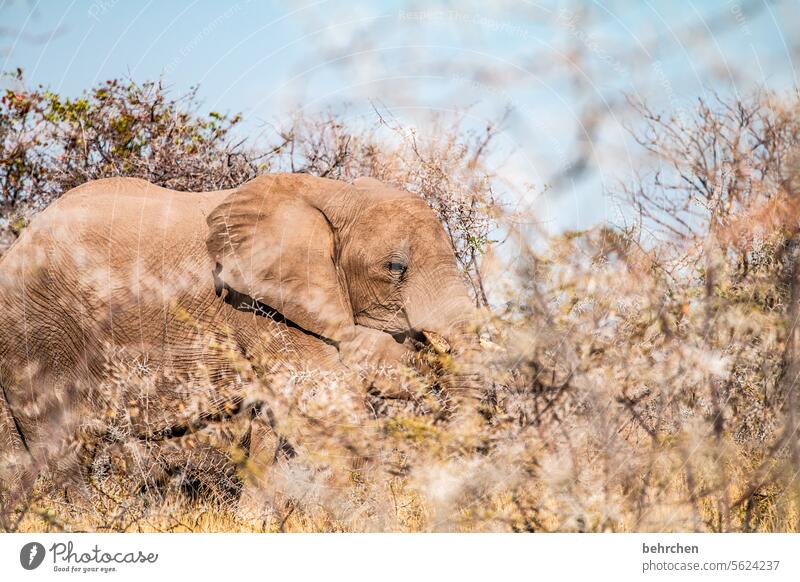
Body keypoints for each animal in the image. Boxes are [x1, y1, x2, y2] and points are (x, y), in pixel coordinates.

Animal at [0, 173, 484, 512]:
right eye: (396, 267)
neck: (336, 195)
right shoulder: (261, 308)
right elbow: (327, 408)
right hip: (37, 331)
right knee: (58, 442)